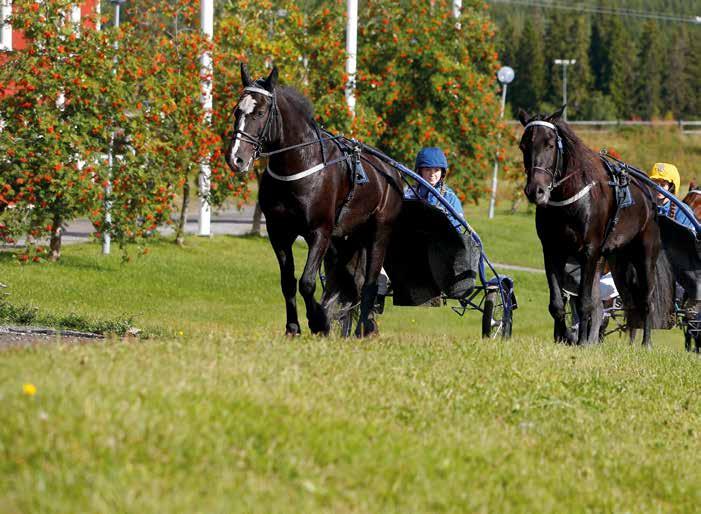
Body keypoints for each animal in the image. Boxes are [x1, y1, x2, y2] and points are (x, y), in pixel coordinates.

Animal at [224, 65, 400, 336]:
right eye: (237, 111)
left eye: (260, 112)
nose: (235, 158)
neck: (300, 165)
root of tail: (391, 172)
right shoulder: (278, 232)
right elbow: (288, 281)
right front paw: (293, 327)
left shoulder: (320, 231)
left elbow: (307, 282)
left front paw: (319, 319)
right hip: (347, 240)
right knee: (351, 281)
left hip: (379, 232)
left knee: (369, 283)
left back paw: (365, 327)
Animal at [520, 108, 672, 348]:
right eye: (523, 145)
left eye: (550, 145)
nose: (536, 190)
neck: (570, 200)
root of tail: (650, 196)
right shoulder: (552, 250)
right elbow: (558, 304)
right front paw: (565, 337)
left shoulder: (590, 251)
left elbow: (584, 302)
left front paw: (582, 341)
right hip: (617, 261)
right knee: (622, 302)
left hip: (645, 254)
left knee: (646, 299)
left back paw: (645, 343)